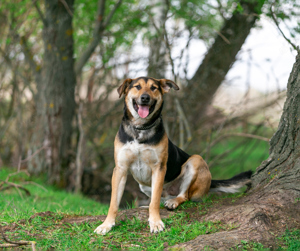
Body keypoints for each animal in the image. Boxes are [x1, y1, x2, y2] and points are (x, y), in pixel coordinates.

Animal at [93, 77, 251, 235]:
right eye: (137, 86)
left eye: (154, 88)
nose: (145, 98)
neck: (140, 129)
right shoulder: (120, 169)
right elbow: (114, 203)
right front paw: (107, 224)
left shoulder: (159, 168)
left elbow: (155, 202)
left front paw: (155, 222)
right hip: (143, 185)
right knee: (159, 199)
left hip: (195, 161)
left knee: (182, 196)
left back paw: (173, 202)